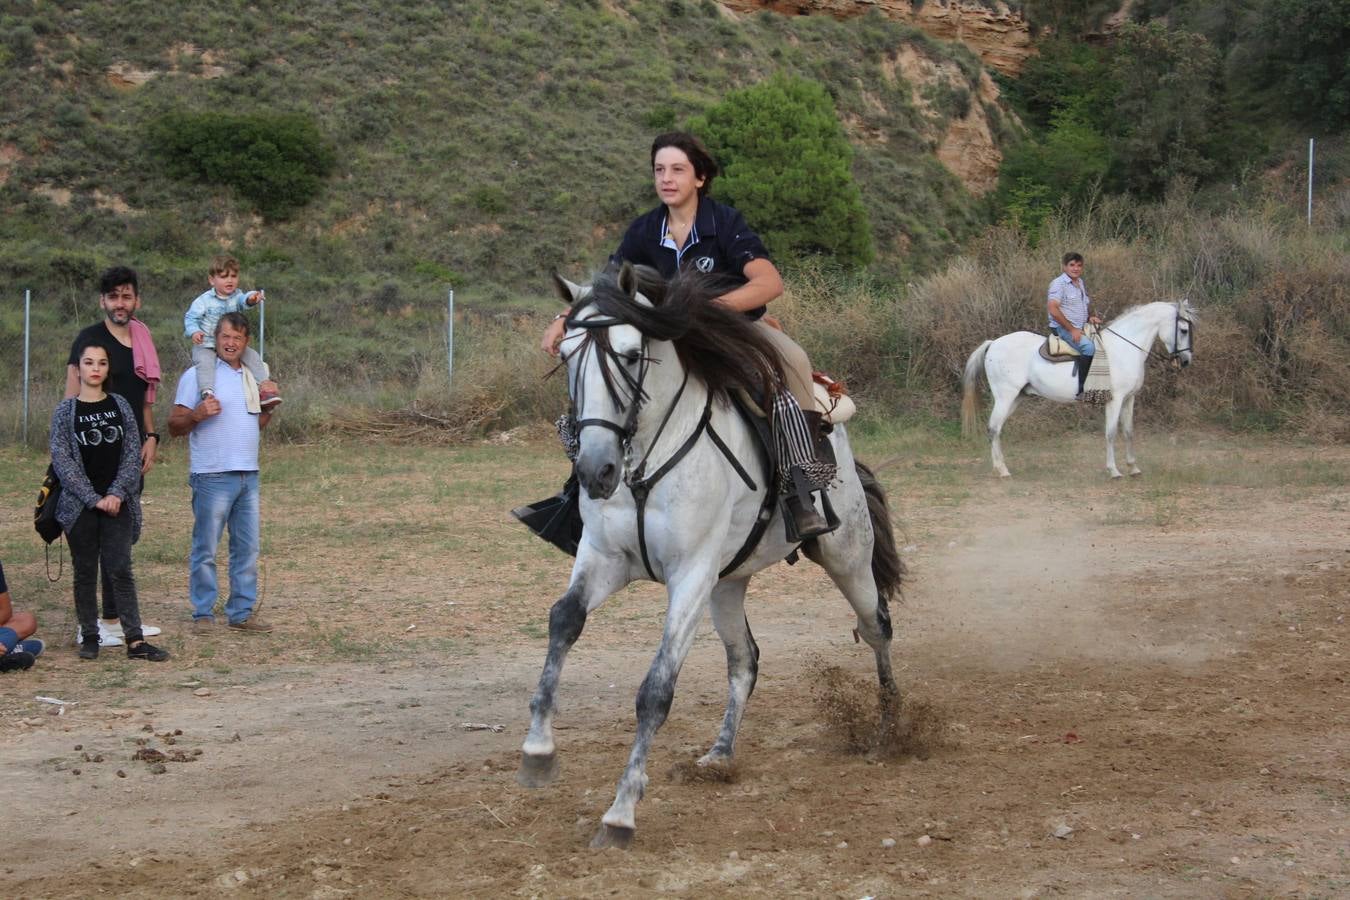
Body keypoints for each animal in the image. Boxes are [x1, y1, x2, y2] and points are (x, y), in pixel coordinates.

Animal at [521, 261, 901, 852]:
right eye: (566, 356)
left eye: (630, 354)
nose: (596, 472)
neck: (644, 462)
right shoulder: (606, 558)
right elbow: (564, 620)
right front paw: (538, 750)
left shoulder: (690, 576)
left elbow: (656, 691)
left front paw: (621, 812)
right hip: (728, 583)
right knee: (745, 658)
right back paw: (721, 754)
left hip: (845, 556)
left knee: (876, 624)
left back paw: (888, 731)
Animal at [961, 299, 1193, 477]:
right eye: (1183, 330)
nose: (1186, 361)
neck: (1123, 349)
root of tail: (993, 343)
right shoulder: (1115, 399)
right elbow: (1111, 433)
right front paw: (1114, 471)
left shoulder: (1129, 399)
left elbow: (1128, 432)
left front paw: (1133, 468)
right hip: (1005, 396)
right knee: (993, 428)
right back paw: (1002, 471)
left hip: (1016, 397)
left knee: (996, 429)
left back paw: (1000, 467)